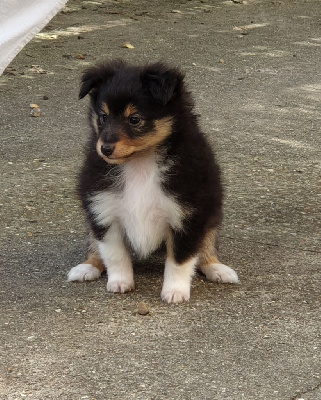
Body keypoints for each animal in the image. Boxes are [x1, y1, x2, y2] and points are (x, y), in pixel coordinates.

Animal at [67, 60, 238, 304]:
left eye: (134, 119)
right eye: (103, 117)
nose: (105, 149)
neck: (140, 163)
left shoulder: (187, 215)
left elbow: (180, 259)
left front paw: (174, 292)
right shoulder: (104, 209)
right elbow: (114, 253)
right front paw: (120, 282)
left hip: (212, 212)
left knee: (207, 243)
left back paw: (217, 268)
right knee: (93, 243)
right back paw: (87, 267)